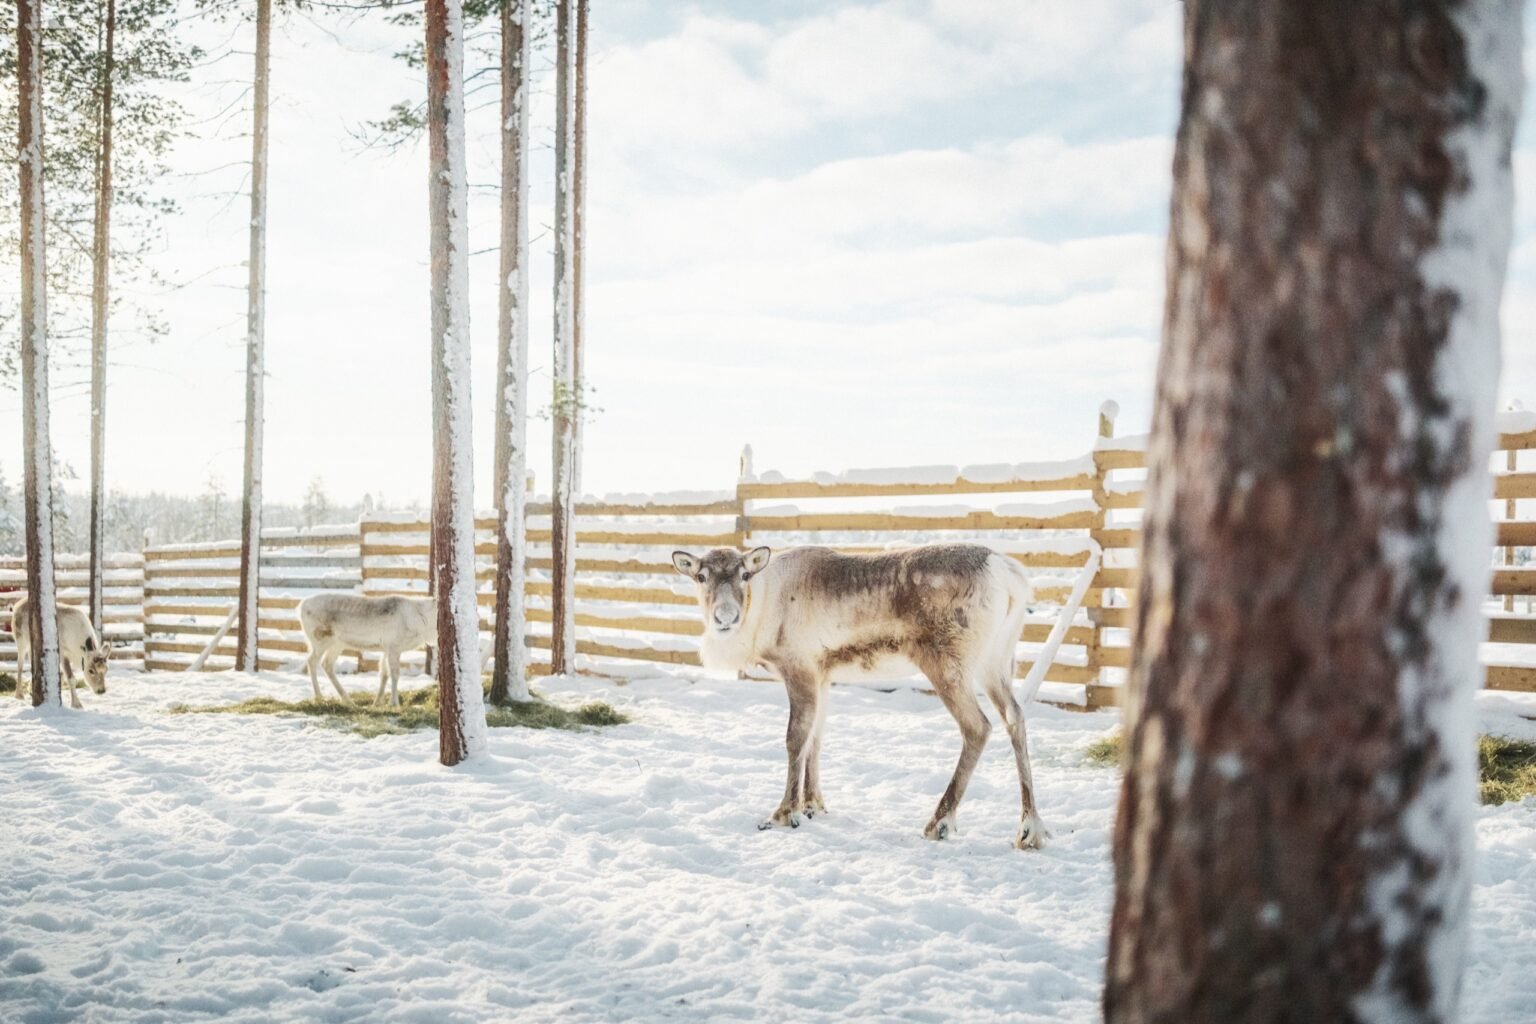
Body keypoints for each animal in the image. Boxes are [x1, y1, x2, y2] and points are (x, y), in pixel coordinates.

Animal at [298, 594, 437, 707]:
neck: (422, 623)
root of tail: (300, 607)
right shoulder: (394, 646)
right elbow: (395, 674)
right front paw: (394, 703)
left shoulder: (386, 648)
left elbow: (384, 674)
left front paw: (377, 702)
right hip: (321, 639)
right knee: (312, 661)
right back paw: (319, 697)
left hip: (337, 644)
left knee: (326, 664)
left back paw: (348, 700)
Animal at [671, 543, 1047, 849]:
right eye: (701, 576)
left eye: (745, 574)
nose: (725, 617)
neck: (762, 606)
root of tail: (1007, 572)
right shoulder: (822, 676)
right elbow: (816, 740)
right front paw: (812, 805)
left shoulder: (799, 670)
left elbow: (795, 739)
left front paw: (783, 813)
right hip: (996, 663)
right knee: (1015, 717)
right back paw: (1030, 829)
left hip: (948, 665)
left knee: (978, 727)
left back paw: (939, 821)